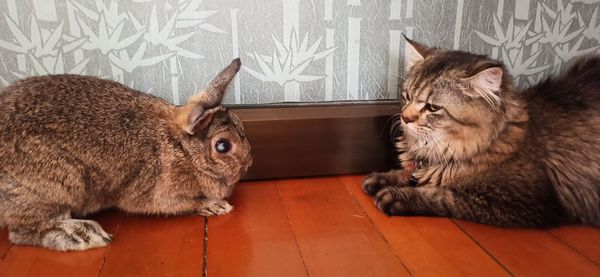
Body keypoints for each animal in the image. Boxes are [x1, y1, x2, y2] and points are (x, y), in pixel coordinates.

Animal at [0, 58, 251, 250]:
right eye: (223, 146)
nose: (249, 163)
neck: (182, 149)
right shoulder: (158, 194)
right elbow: (185, 203)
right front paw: (216, 206)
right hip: (59, 185)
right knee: (25, 232)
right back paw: (84, 235)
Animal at [360, 37, 600, 226]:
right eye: (407, 96)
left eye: (433, 107)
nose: (405, 117)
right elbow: (408, 174)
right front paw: (384, 177)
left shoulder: (519, 202)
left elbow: (443, 196)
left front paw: (399, 196)